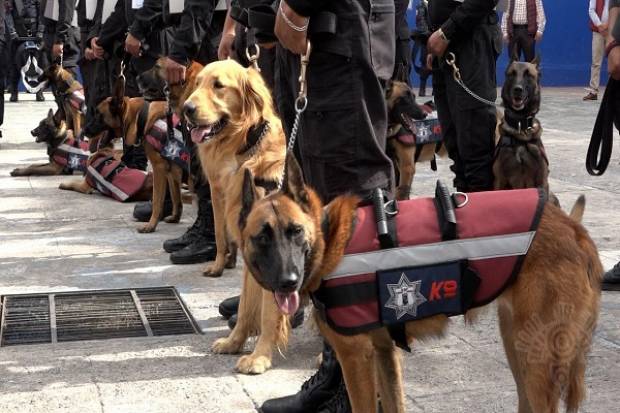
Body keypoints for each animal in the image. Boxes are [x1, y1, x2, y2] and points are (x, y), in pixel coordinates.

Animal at [240, 155, 604, 412]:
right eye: (262, 238)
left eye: (295, 231)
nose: (287, 283)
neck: (329, 240)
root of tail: (575, 229)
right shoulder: (384, 354)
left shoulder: (356, 357)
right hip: (519, 348)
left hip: (537, 361)